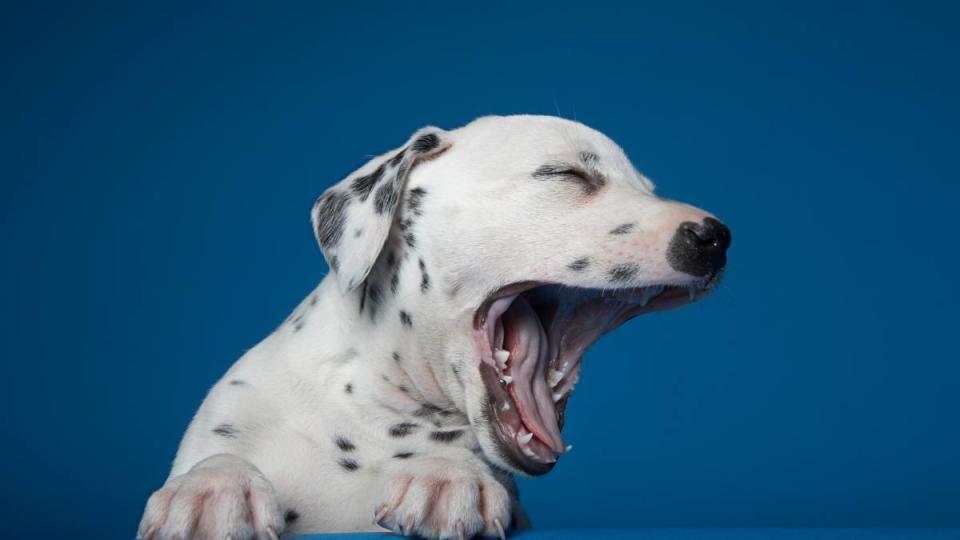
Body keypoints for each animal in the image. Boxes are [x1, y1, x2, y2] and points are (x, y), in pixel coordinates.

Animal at [139, 113, 732, 536]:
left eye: (647, 187)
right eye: (568, 174)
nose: (716, 237)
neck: (375, 411)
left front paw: (447, 475)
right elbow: (217, 457)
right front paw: (210, 489)